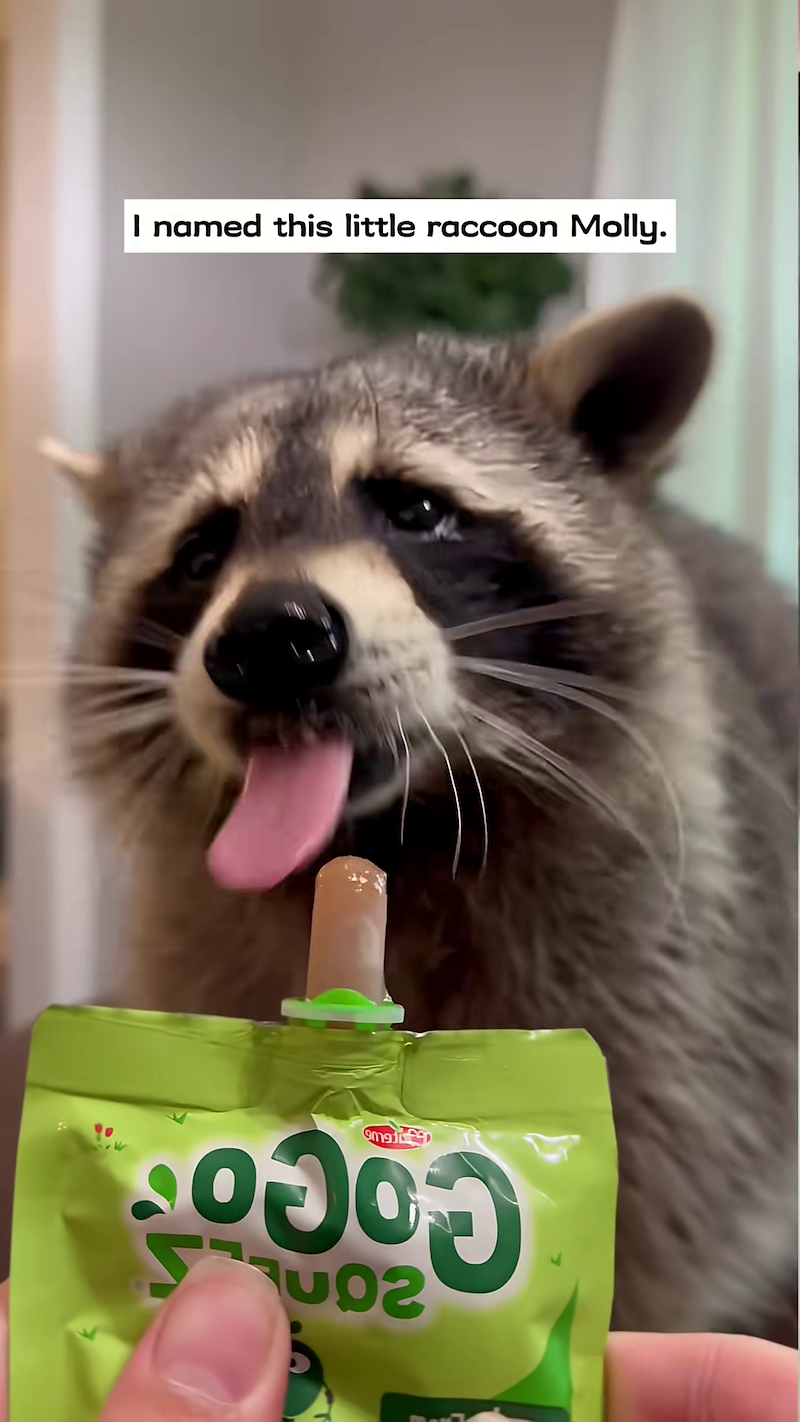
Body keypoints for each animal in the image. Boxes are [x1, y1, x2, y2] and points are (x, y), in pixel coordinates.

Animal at [49, 295, 797, 1335]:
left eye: (417, 510)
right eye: (201, 552)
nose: (270, 637)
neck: (395, 836)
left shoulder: (680, 1022)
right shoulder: (195, 947)